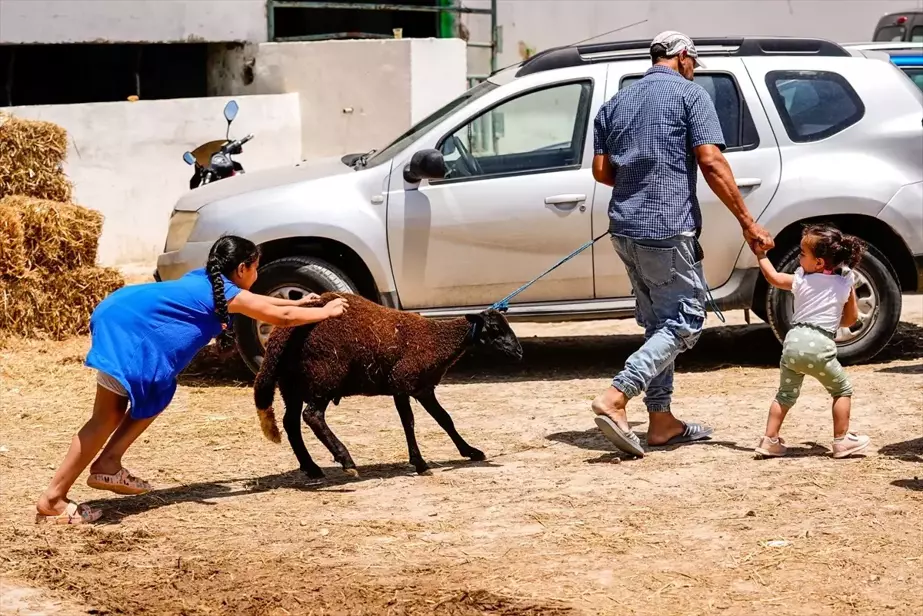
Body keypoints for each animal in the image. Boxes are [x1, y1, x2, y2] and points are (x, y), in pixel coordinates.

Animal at [253, 292, 524, 476]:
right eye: (494, 328)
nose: (519, 352)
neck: (438, 341)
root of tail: (279, 337)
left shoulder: (423, 388)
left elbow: (445, 419)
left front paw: (471, 452)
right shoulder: (401, 382)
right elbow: (409, 423)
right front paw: (420, 464)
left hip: (291, 384)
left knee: (291, 422)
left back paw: (311, 467)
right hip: (324, 375)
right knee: (312, 416)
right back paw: (345, 460)